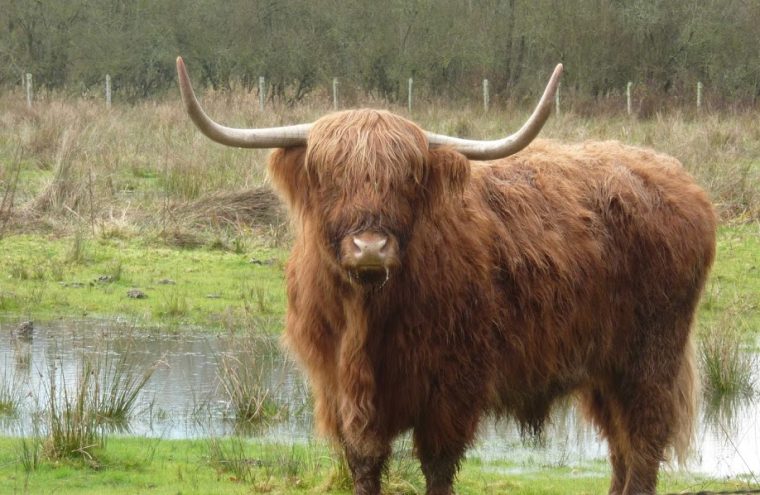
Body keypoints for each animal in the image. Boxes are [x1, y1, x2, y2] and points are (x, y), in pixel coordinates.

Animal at [178, 56, 720, 494]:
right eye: (328, 176)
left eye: (408, 178)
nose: (370, 247)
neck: (366, 320)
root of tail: (677, 177)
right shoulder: (339, 391)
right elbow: (364, 465)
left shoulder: (453, 390)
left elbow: (438, 468)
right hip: (603, 371)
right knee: (620, 447)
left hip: (651, 358)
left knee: (645, 442)